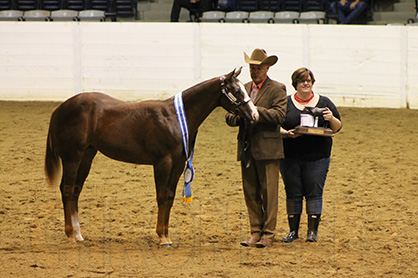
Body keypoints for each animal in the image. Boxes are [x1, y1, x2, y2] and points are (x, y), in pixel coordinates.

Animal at [43, 67, 258, 245]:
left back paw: (79, 234)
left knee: (76, 191)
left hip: (86, 156)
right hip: (72, 158)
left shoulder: (178, 164)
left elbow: (169, 196)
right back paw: (70, 235)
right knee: (67, 189)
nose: (254, 114)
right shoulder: (162, 163)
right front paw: (162, 237)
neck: (174, 117)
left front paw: (166, 235)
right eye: (236, 91)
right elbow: (161, 196)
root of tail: (59, 109)